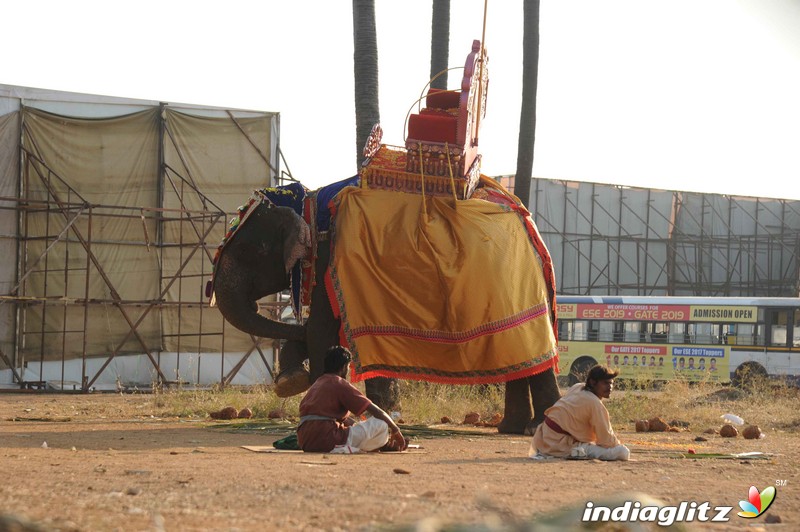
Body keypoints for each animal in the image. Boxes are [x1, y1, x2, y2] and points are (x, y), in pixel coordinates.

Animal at [212, 177, 564, 434]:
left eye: (250, 250)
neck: (307, 201)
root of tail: (528, 225)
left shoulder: (327, 258)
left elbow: (322, 329)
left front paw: (309, 390)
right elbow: (325, 330)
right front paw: (293, 380)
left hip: (506, 281)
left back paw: (536, 428)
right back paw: (512, 428)